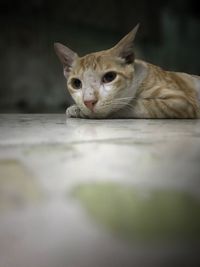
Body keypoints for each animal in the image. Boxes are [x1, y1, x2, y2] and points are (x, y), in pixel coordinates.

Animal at [54, 24, 200, 119]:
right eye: (76, 83)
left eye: (109, 77)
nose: (89, 102)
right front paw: (76, 108)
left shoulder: (183, 101)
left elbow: (135, 106)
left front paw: (79, 110)